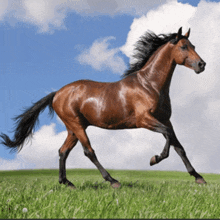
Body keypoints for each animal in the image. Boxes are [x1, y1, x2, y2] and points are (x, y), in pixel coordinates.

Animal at [0, 27, 206, 188]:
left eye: (194, 46)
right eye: (183, 46)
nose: (201, 64)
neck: (150, 85)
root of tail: (57, 93)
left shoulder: (165, 119)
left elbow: (179, 146)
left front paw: (198, 177)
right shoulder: (145, 120)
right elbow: (169, 138)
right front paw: (154, 159)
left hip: (73, 129)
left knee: (63, 151)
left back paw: (67, 182)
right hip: (76, 125)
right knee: (88, 151)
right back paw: (113, 181)